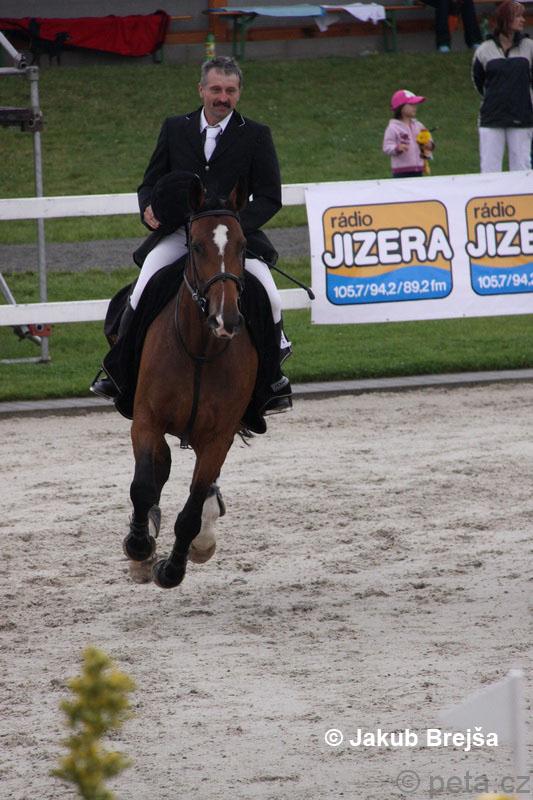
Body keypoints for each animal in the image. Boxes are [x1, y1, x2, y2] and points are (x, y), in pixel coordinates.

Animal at [122, 176, 258, 589]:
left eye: (243, 245)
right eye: (196, 245)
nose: (226, 319)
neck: (199, 349)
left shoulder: (217, 438)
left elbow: (192, 511)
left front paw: (172, 568)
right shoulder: (146, 420)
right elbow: (143, 485)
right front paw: (139, 548)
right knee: (158, 468)